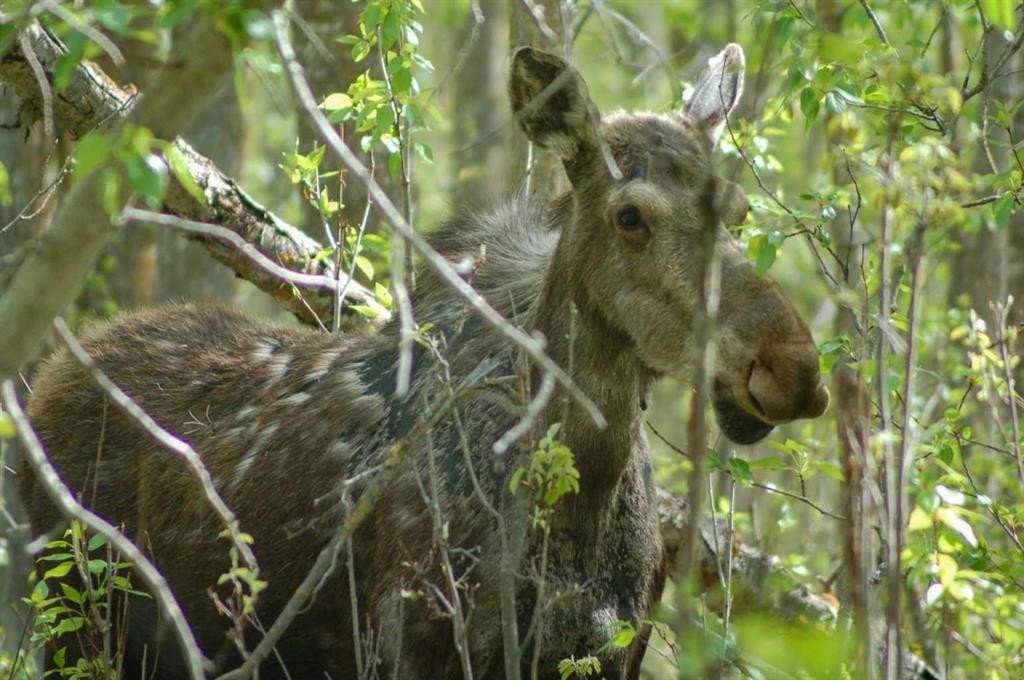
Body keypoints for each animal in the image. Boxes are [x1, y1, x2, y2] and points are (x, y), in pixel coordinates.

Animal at [19, 44, 829, 680]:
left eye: (739, 209)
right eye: (631, 215)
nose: (791, 369)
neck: (582, 499)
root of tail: (45, 378)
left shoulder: (611, 652)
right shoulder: (416, 641)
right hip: (77, 623)